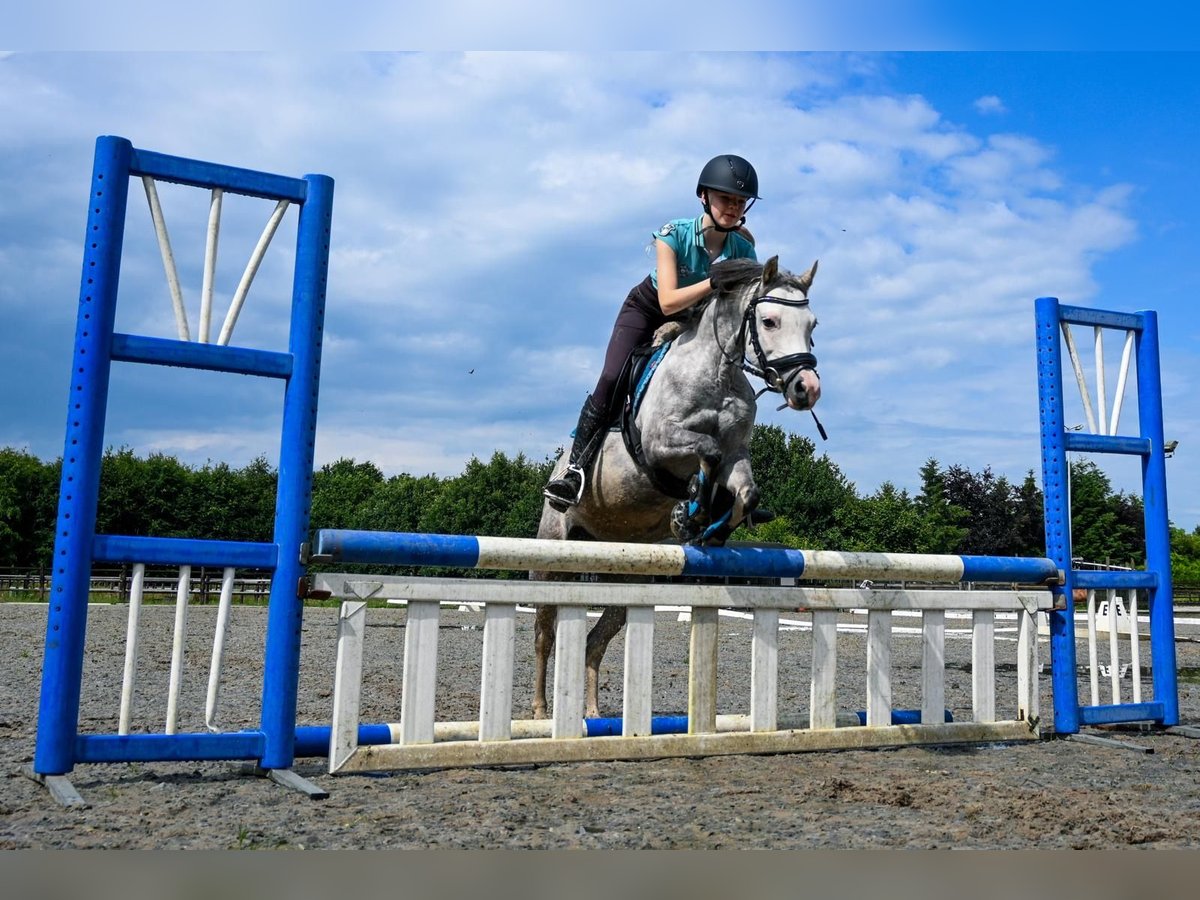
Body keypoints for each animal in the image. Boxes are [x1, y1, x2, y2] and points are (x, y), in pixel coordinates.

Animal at [537, 256, 825, 724]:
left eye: (813, 324)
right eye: (769, 321)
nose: (807, 389)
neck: (717, 373)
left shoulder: (737, 455)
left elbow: (745, 490)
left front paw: (707, 525)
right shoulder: (660, 442)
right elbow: (705, 450)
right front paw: (689, 510)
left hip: (624, 574)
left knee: (595, 641)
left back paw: (594, 715)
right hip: (552, 554)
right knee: (544, 634)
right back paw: (540, 712)